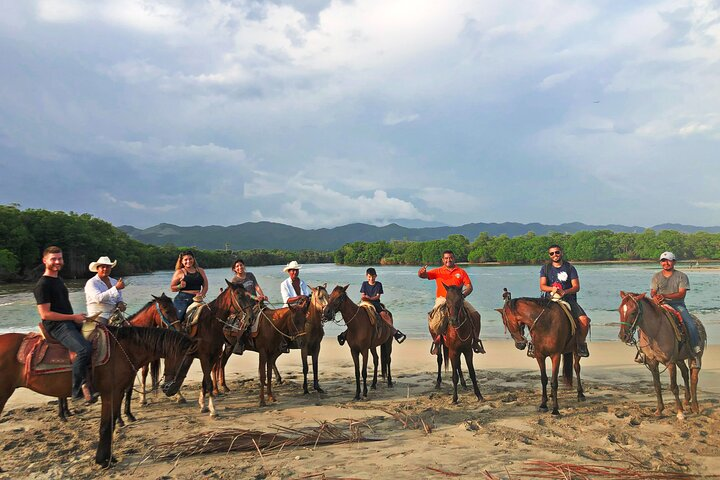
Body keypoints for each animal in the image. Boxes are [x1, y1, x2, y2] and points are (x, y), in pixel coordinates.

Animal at [0, 328, 197, 466]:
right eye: (186, 361)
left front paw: (108, 457)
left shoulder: (118, 392)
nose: (170, 389)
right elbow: (105, 426)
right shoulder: (111, 393)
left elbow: (111, 425)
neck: (123, 350)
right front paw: (103, 460)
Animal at [496, 288, 584, 416]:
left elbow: (554, 382)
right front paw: (543, 404)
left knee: (577, 367)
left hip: (575, 350)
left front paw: (555, 410)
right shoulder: (540, 356)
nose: (519, 345)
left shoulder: (555, 355)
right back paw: (552, 395)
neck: (545, 323)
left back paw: (580, 394)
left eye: (504, 322)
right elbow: (544, 379)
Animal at [616, 290, 704, 418]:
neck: (655, 332)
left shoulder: (670, 363)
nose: (623, 336)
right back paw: (687, 401)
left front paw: (680, 412)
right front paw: (659, 410)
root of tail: (699, 323)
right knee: (685, 372)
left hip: (695, 357)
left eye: (633, 312)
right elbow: (657, 386)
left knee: (694, 379)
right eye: (619, 310)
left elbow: (674, 387)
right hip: (679, 359)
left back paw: (695, 407)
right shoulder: (652, 362)